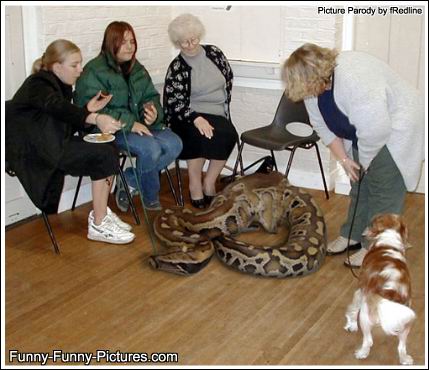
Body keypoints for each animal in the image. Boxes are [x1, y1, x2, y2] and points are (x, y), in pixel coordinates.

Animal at [344, 214, 414, 364]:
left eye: (371, 223)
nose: (363, 233)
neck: (388, 240)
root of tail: (391, 291)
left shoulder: (360, 291)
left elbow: (352, 309)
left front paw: (351, 325)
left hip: (365, 315)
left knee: (368, 341)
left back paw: (362, 353)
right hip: (406, 318)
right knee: (401, 346)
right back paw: (404, 359)